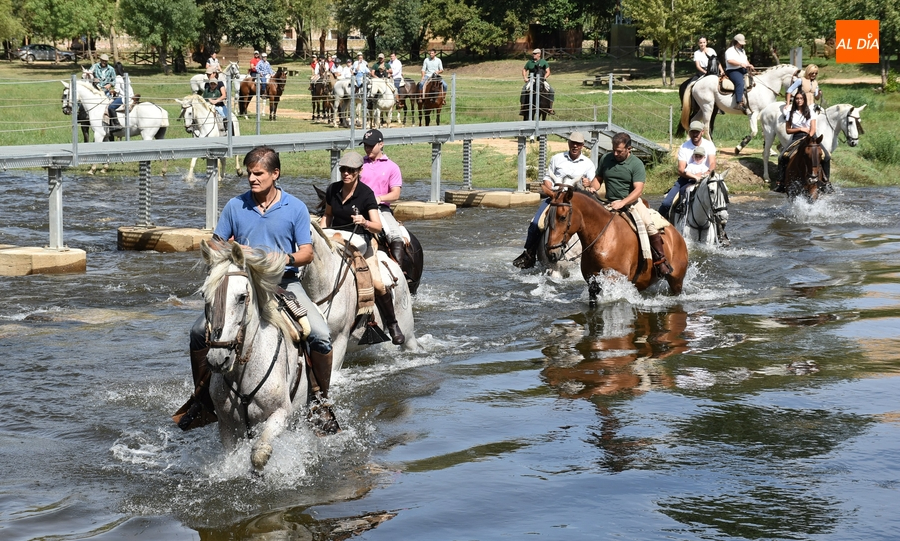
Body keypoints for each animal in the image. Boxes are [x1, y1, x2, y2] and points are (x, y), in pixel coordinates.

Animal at [198, 239, 308, 472]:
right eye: (204, 295)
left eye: (242, 297)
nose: (218, 359)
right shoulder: (226, 425)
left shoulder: (281, 413)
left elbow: (259, 453)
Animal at [544, 187, 688, 304]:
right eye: (547, 217)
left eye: (562, 217)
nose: (551, 253)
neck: (603, 236)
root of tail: (676, 233)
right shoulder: (592, 280)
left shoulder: (614, 278)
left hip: (676, 281)